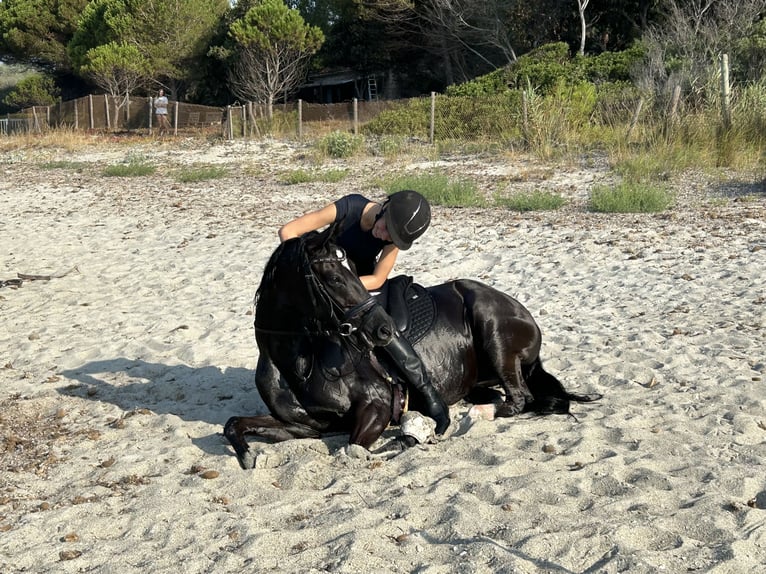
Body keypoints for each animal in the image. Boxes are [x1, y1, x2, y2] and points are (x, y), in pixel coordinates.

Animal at [226, 224, 600, 468]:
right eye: (332, 278)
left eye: (351, 272)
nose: (384, 329)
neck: (299, 363)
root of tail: (522, 311)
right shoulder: (306, 426)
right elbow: (234, 423)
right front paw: (248, 456)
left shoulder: (376, 405)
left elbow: (353, 449)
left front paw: (411, 436)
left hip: (492, 329)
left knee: (521, 398)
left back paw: (472, 414)